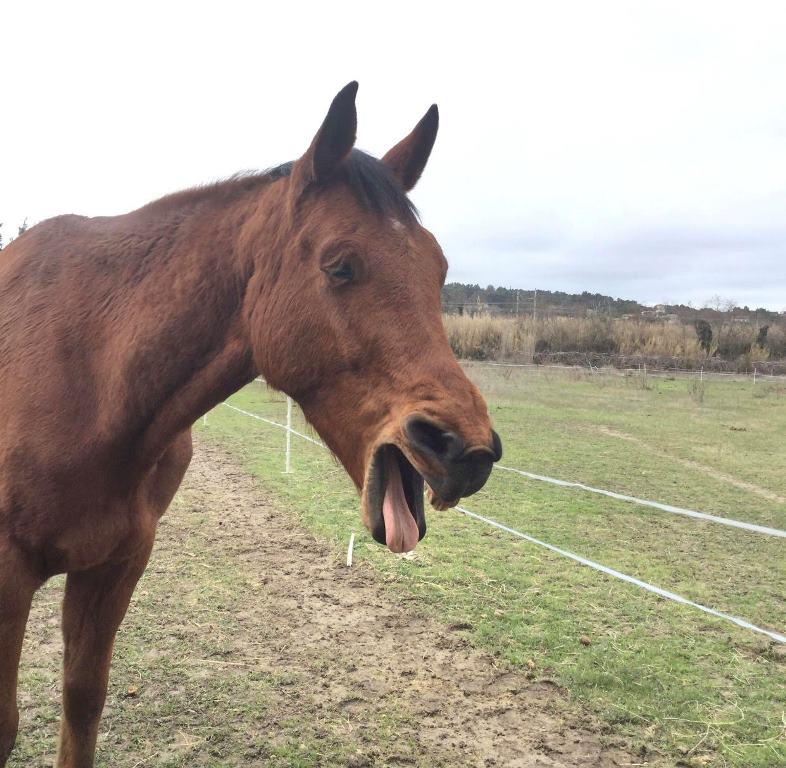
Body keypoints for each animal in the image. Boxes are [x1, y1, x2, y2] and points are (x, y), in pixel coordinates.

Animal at [0, 81, 500, 764]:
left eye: (439, 269)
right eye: (340, 266)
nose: (464, 449)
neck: (90, 376)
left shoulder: (114, 566)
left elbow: (82, 702)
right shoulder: (6, 575)